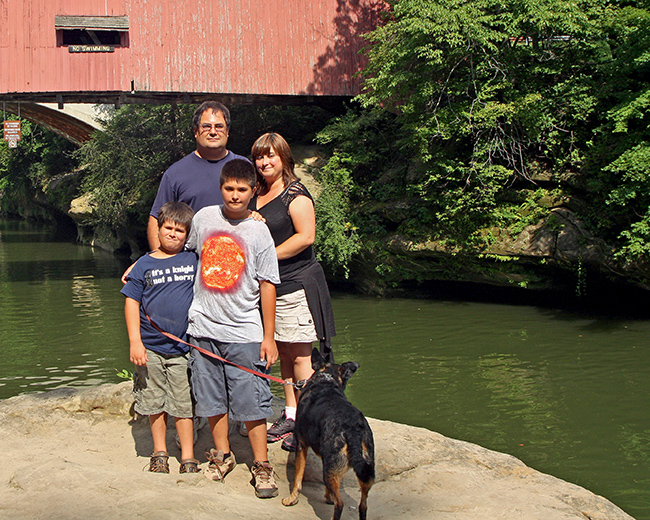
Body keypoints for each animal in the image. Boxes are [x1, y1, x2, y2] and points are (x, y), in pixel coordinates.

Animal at [280, 350, 374, 520]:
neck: (326, 380)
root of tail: (353, 429)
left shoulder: (301, 445)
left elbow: (298, 478)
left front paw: (291, 499)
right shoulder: (326, 456)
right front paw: (327, 496)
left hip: (334, 468)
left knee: (340, 504)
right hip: (365, 470)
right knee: (363, 505)